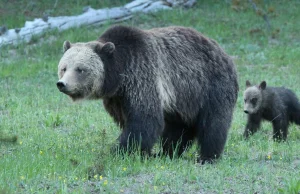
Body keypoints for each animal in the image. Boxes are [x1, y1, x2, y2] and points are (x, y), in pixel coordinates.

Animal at [56, 25, 239, 163]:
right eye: (64, 67)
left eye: (80, 69)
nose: (62, 84)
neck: (119, 75)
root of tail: (223, 51)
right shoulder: (117, 98)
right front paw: (142, 152)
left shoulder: (142, 77)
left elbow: (144, 119)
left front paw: (121, 151)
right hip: (183, 99)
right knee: (179, 127)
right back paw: (168, 152)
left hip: (210, 85)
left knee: (213, 123)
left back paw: (207, 156)